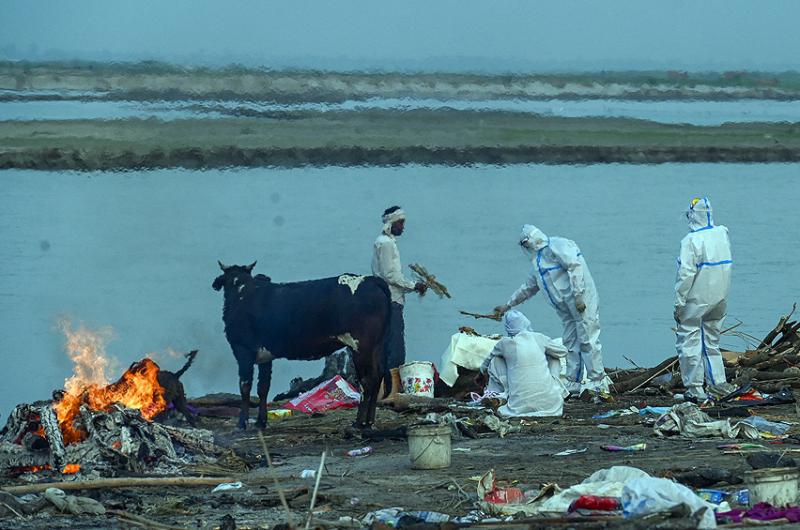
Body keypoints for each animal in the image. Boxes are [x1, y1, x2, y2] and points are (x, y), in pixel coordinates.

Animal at [211, 260, 390, 428]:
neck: (243, 292)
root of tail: (370, 280)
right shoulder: (265, 356)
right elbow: (263, 387)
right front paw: (261, 422)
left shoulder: (243, 350)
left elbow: (245, 386)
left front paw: (242, 423)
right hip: (376, 346)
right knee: (378, 376)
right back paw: (369, 422)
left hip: (361, 347)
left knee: (367, 381)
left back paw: (359, 423)